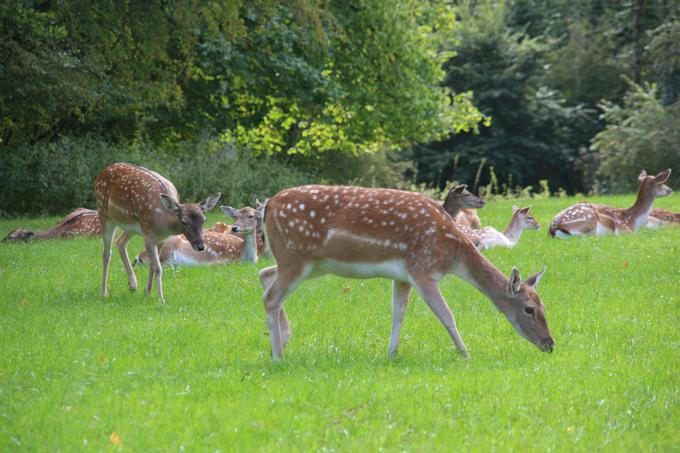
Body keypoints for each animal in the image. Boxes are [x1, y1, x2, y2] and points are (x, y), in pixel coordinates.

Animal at [93, 161, 218, 302]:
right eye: (184, 221)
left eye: (204, 220)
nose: (200, 246)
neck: (163, 224)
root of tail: (102, 172)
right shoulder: (149, 236)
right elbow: (158, 268)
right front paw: (161, 299)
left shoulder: (161, 239)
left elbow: (152, 265)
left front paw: (147, 293)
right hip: (104, 214)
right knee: (106, 254)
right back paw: (104, 292)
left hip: (132, 226)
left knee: (120, 242)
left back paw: (132, 285)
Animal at [258, 185, 548, 360]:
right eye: (529, 309)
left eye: (544, 305)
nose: (550, 344)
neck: (454, 255)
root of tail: (268, 205)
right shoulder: (422, 269)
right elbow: (447, 315)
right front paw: (466, 354)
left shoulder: (403, 276)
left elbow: (398, 314)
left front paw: (391, 353)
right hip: (295, 256)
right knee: (271, 296)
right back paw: (278, 356)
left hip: (310, 263)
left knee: (265, 275)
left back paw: (283, 341)